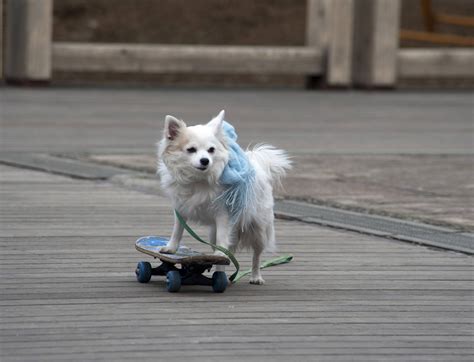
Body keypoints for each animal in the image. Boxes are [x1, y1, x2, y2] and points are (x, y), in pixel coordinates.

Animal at [157, 109, 290, 284]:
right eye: (191, 150)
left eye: (211, 150)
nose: (205, 160)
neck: (199, 179)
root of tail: (257, 166)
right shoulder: (181, 209)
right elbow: (177, 230)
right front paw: (171, 248)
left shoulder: (223, 215)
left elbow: (222, 242)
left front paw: (219, 254)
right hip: (213, 233)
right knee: (224, 256)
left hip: (258, 230)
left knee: (256, 256)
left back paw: (255, 276)